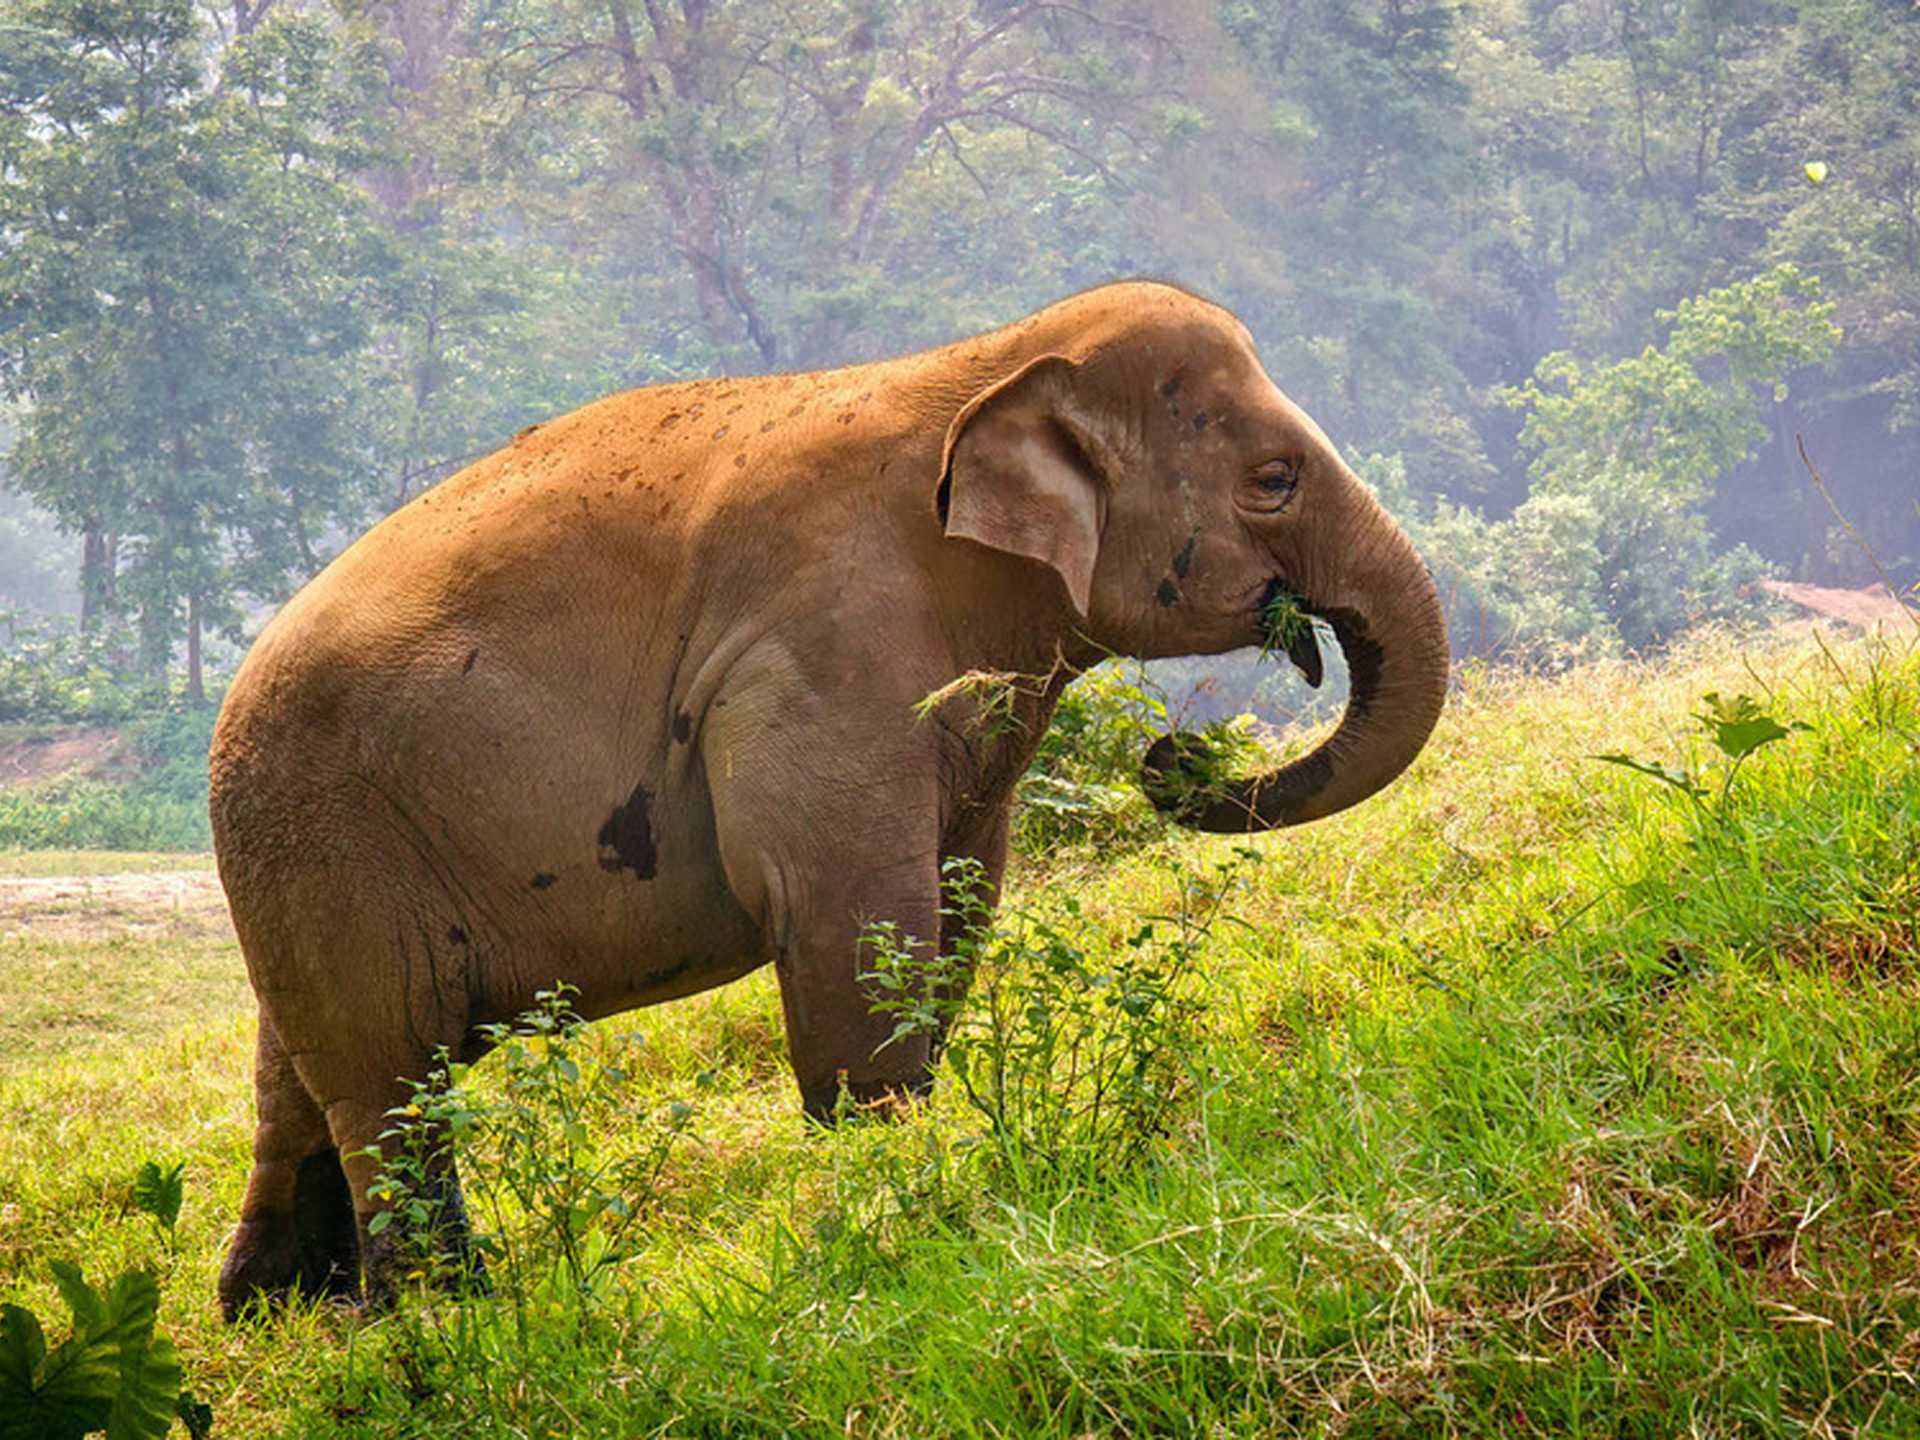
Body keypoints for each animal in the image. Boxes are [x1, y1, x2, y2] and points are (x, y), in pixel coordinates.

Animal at [209, 280, 1449, 1318]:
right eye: (1273, 481)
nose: (1170, 759)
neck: (984, 360)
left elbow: (961, 896)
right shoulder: (820, 652)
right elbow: (852, 911)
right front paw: (894, 1202)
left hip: (305, 867)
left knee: (304, 1081)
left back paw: (289, 1315)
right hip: (328, 841)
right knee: (390, 1081)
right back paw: (445, 1311)